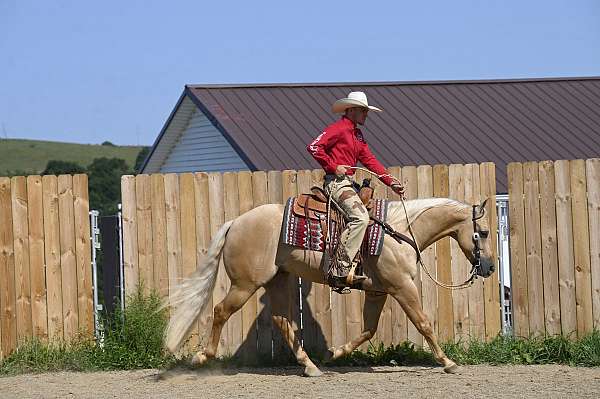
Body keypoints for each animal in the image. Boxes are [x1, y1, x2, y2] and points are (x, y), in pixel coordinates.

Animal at [165, 198, 496, 376]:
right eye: (483, 232)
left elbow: (368, 330)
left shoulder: (378, 291)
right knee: (221, 312)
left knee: (281, 321)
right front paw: (449, 362)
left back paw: (311, 366)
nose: (491, 267)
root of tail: (235, 222)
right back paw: (201, 357)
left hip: (277, 280)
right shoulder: (402, 287)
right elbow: (423, 323)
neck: (400, 231)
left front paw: (335, 353)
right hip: (245, 284)